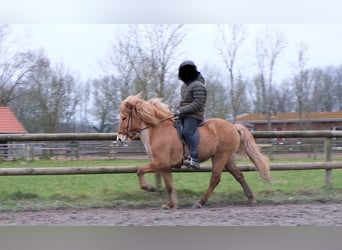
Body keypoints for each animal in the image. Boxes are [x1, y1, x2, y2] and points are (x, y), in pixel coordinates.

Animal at [116, 94, 272, 208]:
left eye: (124, 117)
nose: (119, 139)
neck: (157, 130)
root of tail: (233, 127)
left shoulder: (160, 162)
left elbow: (139, 170)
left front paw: (149, 188)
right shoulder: (165, 166)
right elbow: (169, 185)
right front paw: (171, 204)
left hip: (220, 157)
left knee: (215, 179)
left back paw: (200, 202)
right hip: (227, 159)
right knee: (239, 175)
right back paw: (251, 199)